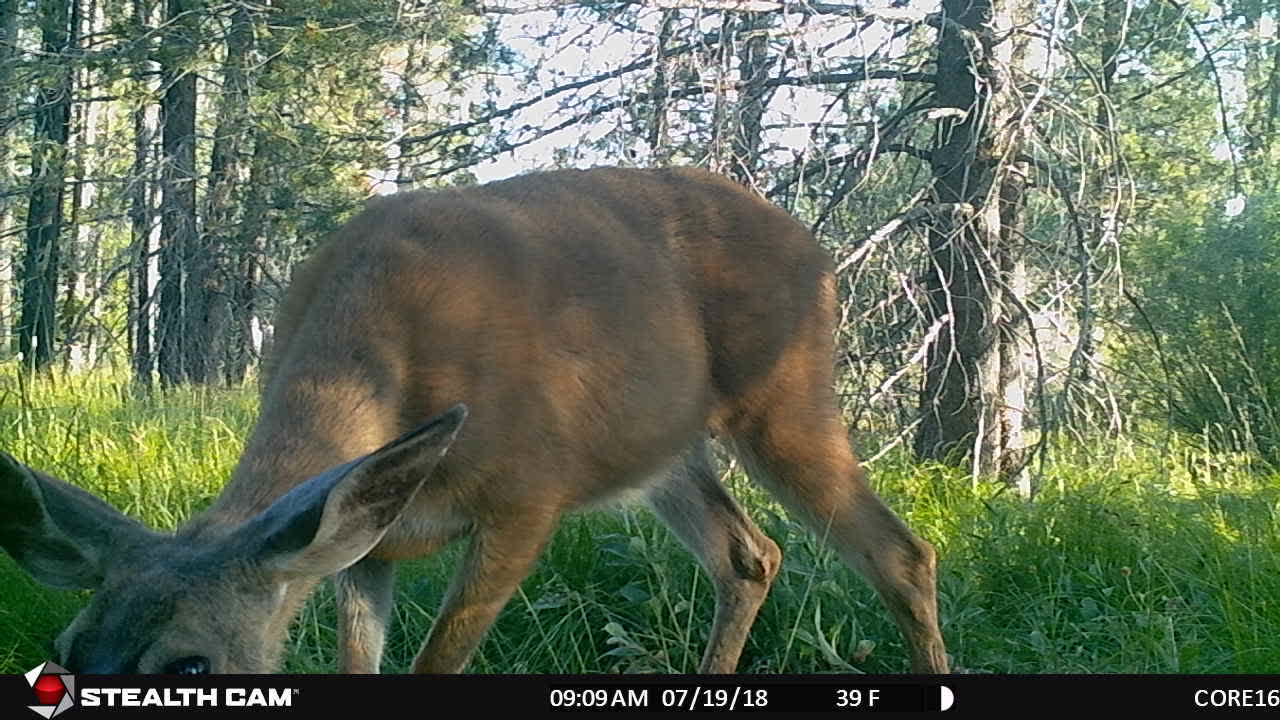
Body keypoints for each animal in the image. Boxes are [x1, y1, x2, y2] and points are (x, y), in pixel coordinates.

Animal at [2, 166, 952, 671]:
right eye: (68, 649)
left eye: (190, 662)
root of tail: (820, 252)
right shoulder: (366, 544)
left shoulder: (529, 493)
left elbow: (436, 663)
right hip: (664, 450)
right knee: (749, 555)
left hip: (785, 401)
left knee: (900, 553)